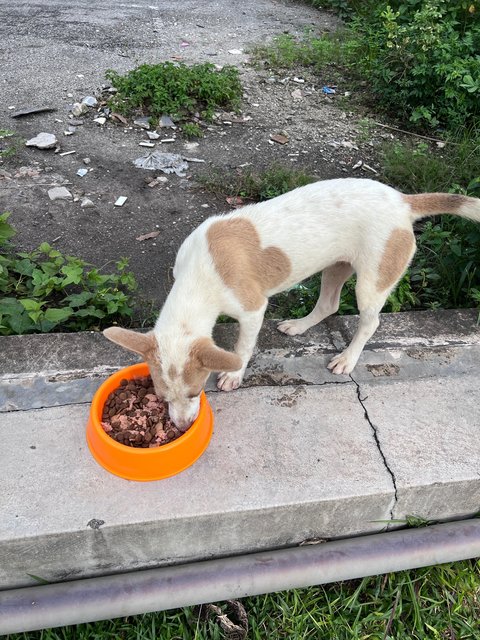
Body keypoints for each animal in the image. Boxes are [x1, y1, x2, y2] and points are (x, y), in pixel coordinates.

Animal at [103, 176, 478, 430]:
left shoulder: (253, 309)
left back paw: (347, 358)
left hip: (373, 281)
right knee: (329, 305)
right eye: (163, 398)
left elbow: (241, 347)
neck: (200, 275)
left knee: (370, 321)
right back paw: (299, 326)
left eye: (196, 393)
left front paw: (234, 375)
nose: (181, 426)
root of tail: (403, 201)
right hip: (336, 266)